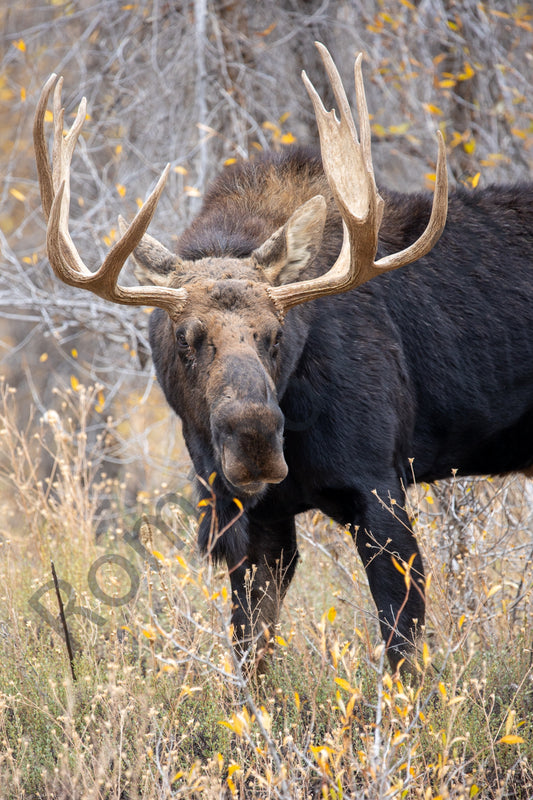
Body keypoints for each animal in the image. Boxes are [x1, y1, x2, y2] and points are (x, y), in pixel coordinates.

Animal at [34, 42, 532, 668]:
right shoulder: (247, 517)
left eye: (276, 334)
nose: (253, 439)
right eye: (186, 338)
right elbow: (252, 656)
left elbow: (402, 649)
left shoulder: (379, 484)